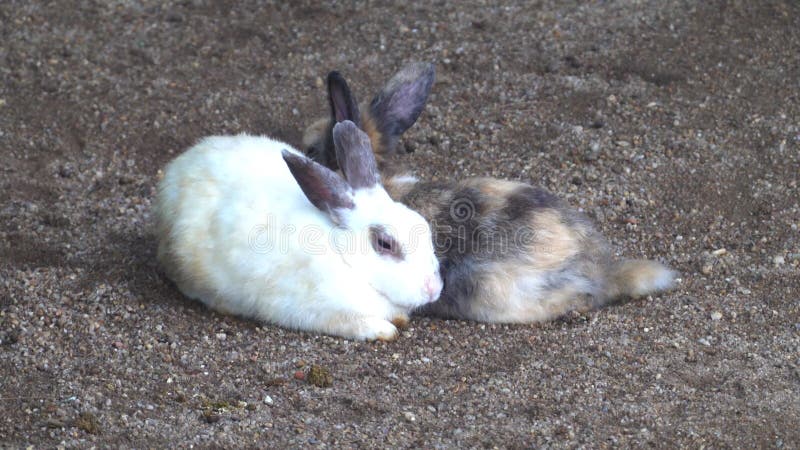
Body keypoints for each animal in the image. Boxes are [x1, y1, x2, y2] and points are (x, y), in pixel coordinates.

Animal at [155, 120, 444, 342]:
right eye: (385, 243)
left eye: (423, 226)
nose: (433, 289)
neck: (346, 259)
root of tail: (178, 169)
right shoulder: (320, 311)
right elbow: (355, 323)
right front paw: (384, 330)